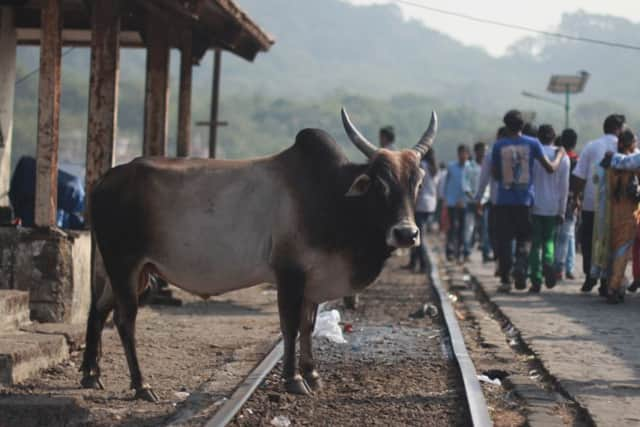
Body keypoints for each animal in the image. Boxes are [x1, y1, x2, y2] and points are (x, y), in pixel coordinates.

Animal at [81, 107, 436, 402]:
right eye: (380, 184)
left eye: (417, 183)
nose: (406, 233)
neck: (332, 197)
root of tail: (104, 181)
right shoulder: (289, 274)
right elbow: (290, 326)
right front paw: (294, 380)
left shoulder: (314, 281)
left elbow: (308, 325)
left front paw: (313, 374)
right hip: (124, 264)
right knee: (124, 320)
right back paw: (141, 386)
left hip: (131, 270)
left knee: (97, 309)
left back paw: (90, 374)